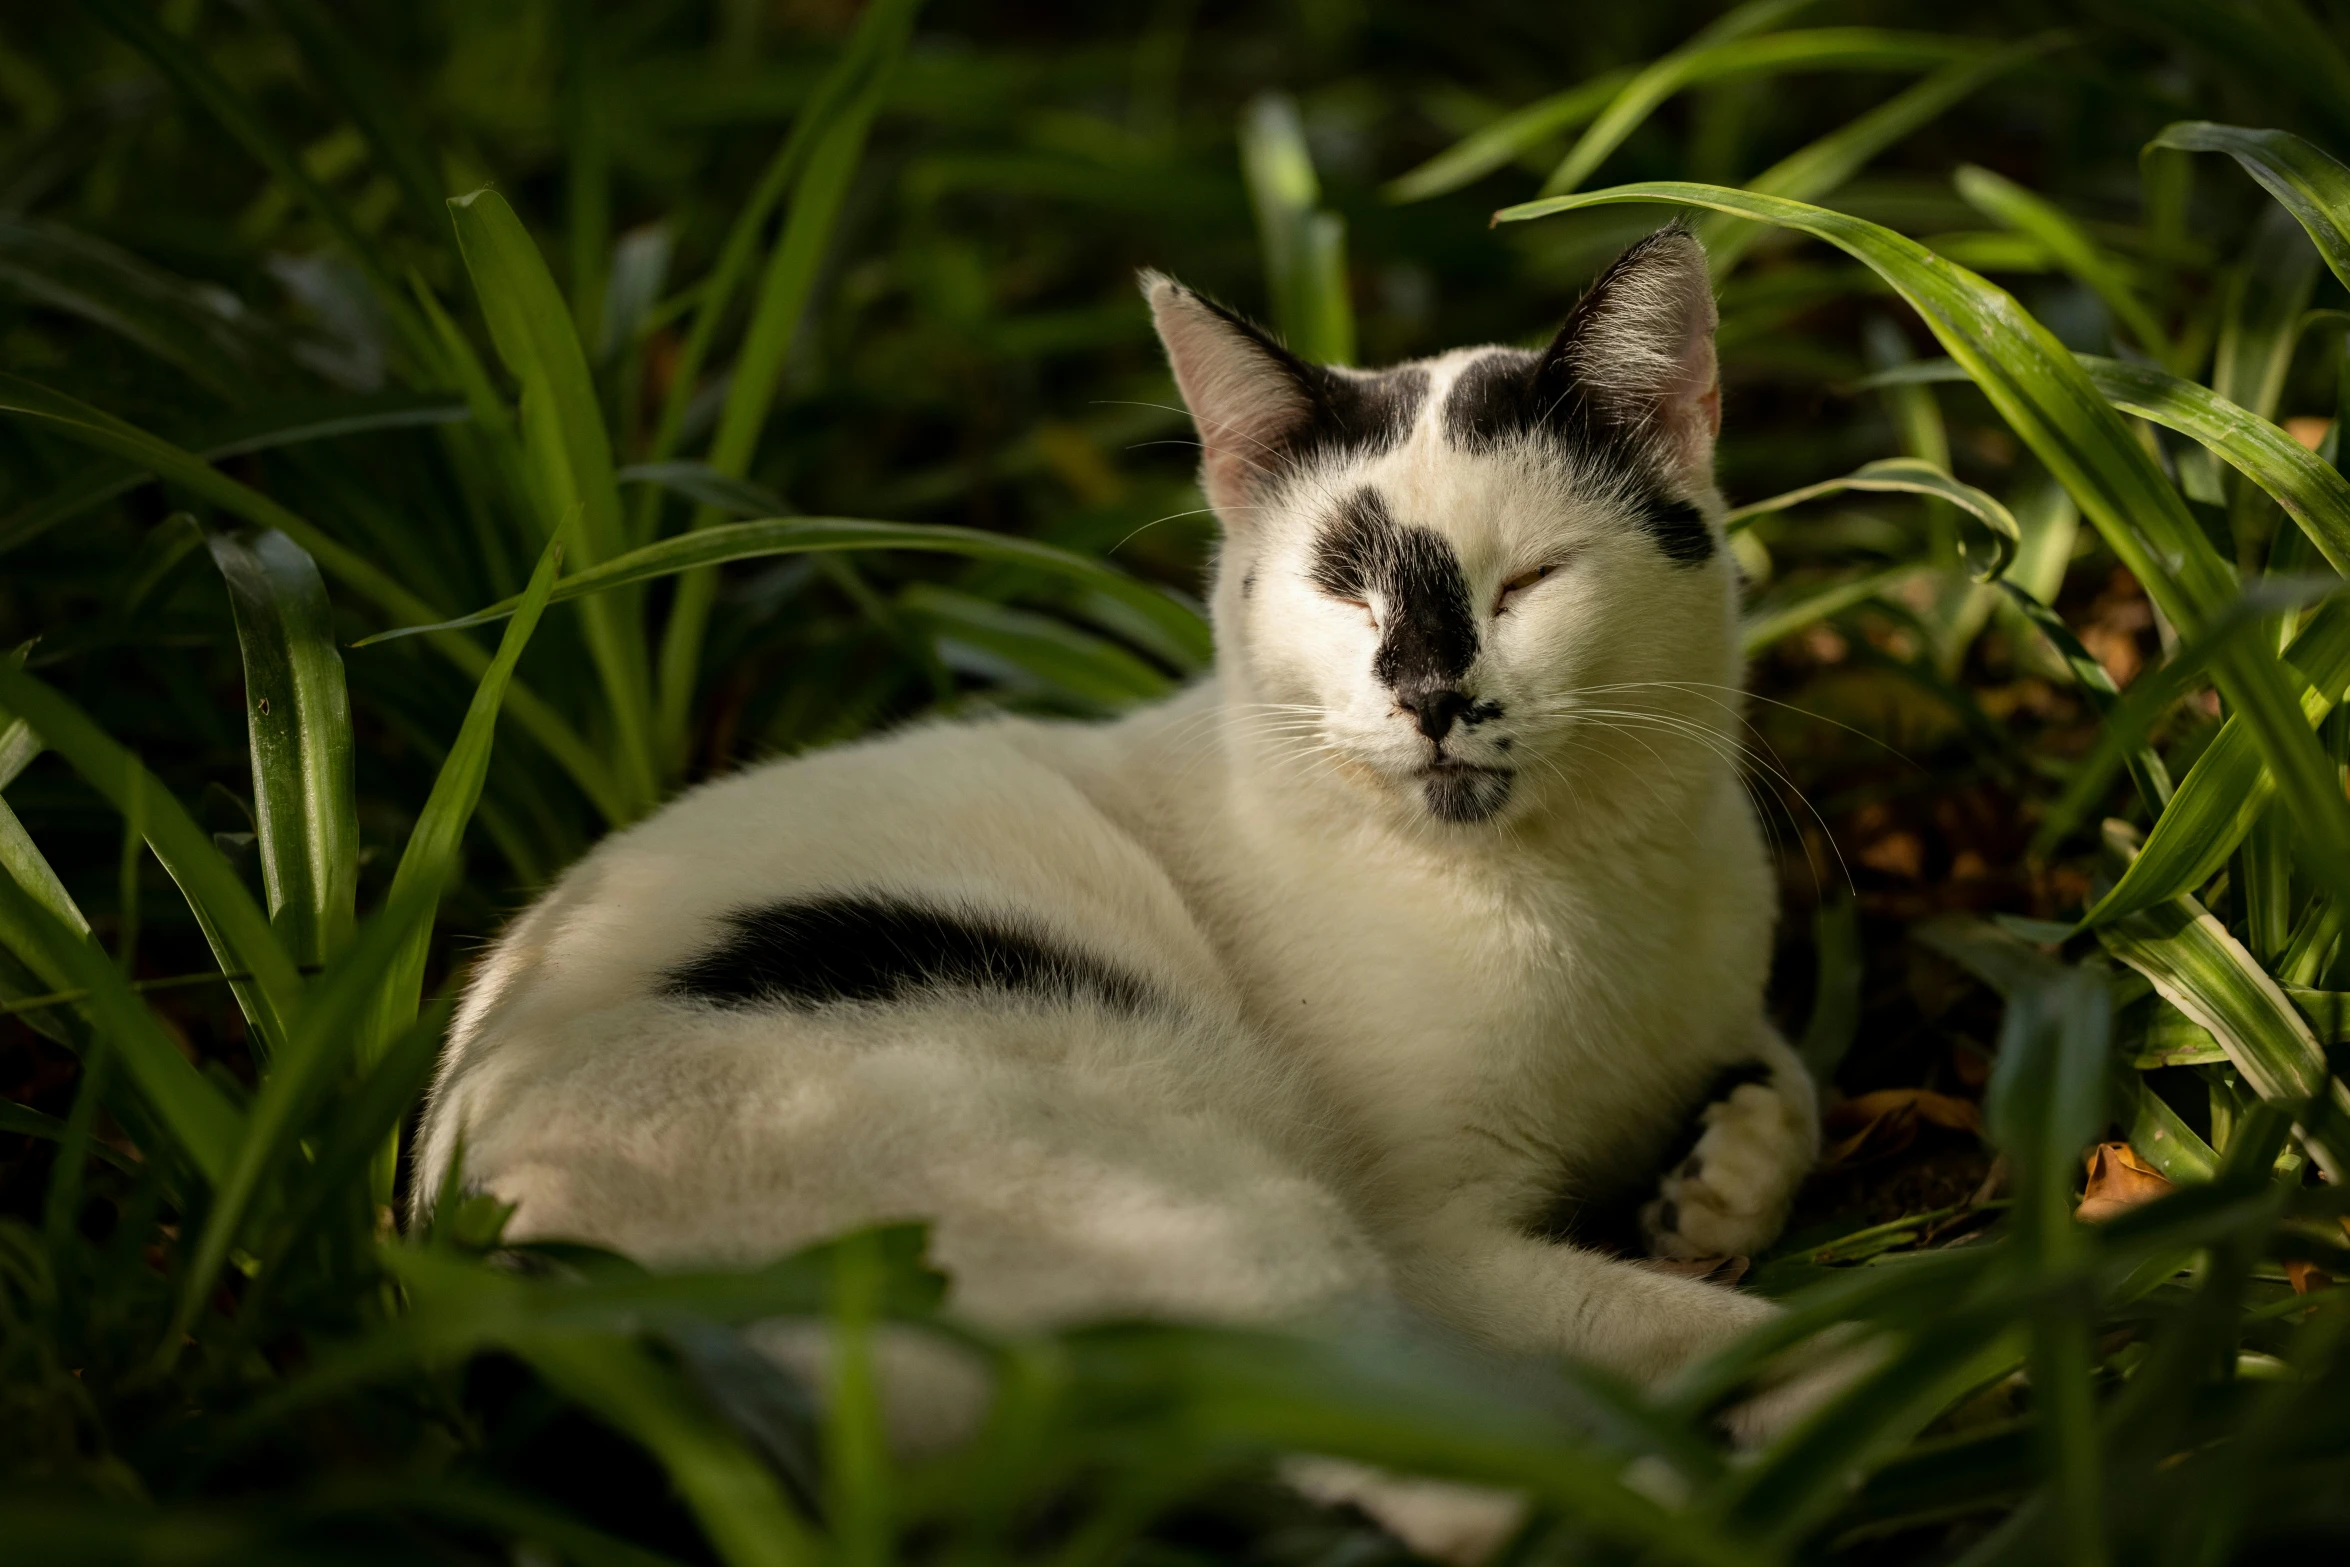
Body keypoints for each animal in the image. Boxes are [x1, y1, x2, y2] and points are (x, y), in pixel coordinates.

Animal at [418, 230, 1814, 1456]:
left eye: (1526, 582)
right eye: (1343, 591)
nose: (1430, 696)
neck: (1581, 895)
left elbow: (1787, 1078)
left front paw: (1725, 1171)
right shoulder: (1434, 1245)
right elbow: (1689, 1321)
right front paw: (1830, 1357)